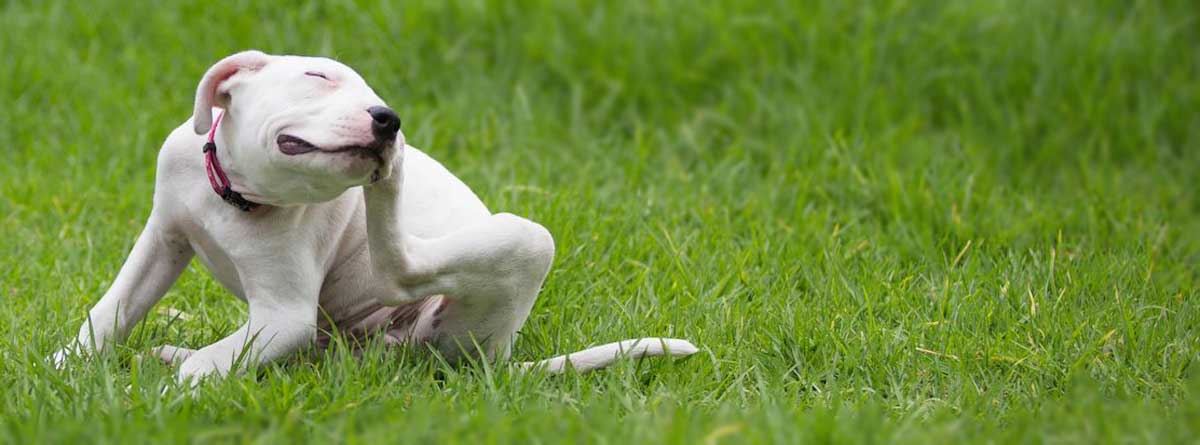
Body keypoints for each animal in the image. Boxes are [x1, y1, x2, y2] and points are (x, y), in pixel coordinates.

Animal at [51, 49, 700, 383]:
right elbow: (111, 310)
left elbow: (216, 361)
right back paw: (175, 351)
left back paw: (395, 175)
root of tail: (495, 362)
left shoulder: (283, 316)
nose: (388, 119)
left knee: (400, 267)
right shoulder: (163, 238)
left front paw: (174, 390)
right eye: (318, 76)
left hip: (522, 241)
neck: (239, 197)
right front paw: (63, 365)